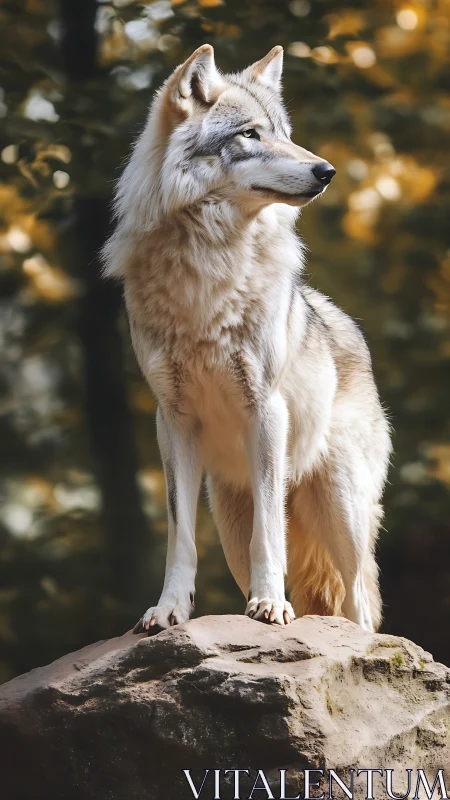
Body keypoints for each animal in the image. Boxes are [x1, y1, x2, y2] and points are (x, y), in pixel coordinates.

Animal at [102, 45, 391, 633]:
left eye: (283, 133)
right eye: (251, 134)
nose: (326, 170)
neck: (207, 263)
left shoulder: (267, 410)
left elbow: (270, 534)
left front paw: (271, 605)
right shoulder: (172, 421)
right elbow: (180, 537)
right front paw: (168, 609)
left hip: (342, 508)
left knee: (357, 604)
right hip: (231, 523)